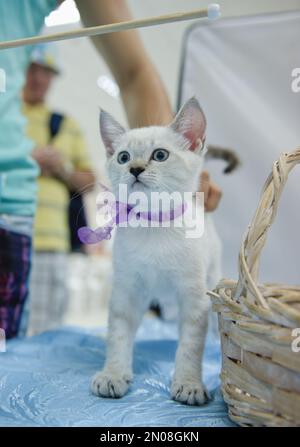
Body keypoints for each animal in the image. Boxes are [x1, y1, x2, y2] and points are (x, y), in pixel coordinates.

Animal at [92, 97, 221, 406]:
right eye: (123, 157)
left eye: (160, 155)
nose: (135, 169)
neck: (155, 226)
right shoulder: (126, 291)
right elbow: (118, 335)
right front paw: (113, 374)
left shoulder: (194, 298)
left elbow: (190, 345)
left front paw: (189, 384)